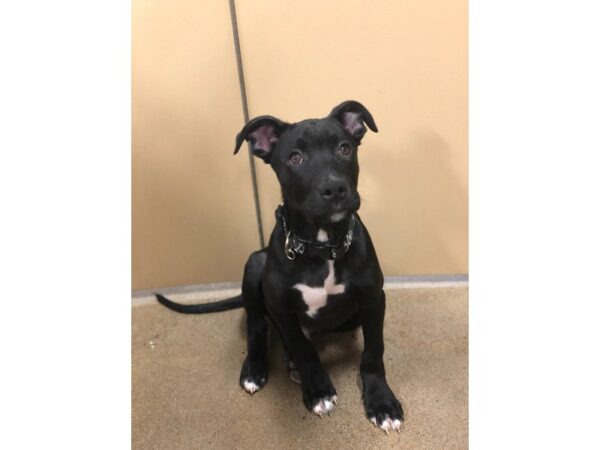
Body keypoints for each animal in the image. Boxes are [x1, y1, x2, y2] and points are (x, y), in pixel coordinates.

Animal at [158, 101, 404, 432]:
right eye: (294, 157)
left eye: (344, 148)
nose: (335, 189)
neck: (322, 247)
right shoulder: (281, 308)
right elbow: (302, 348)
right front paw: (317, 389)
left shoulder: (373, 299)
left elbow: (373, 351)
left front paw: (382, 402)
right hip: (255, 264)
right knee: (258, 326)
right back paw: (256, 368)